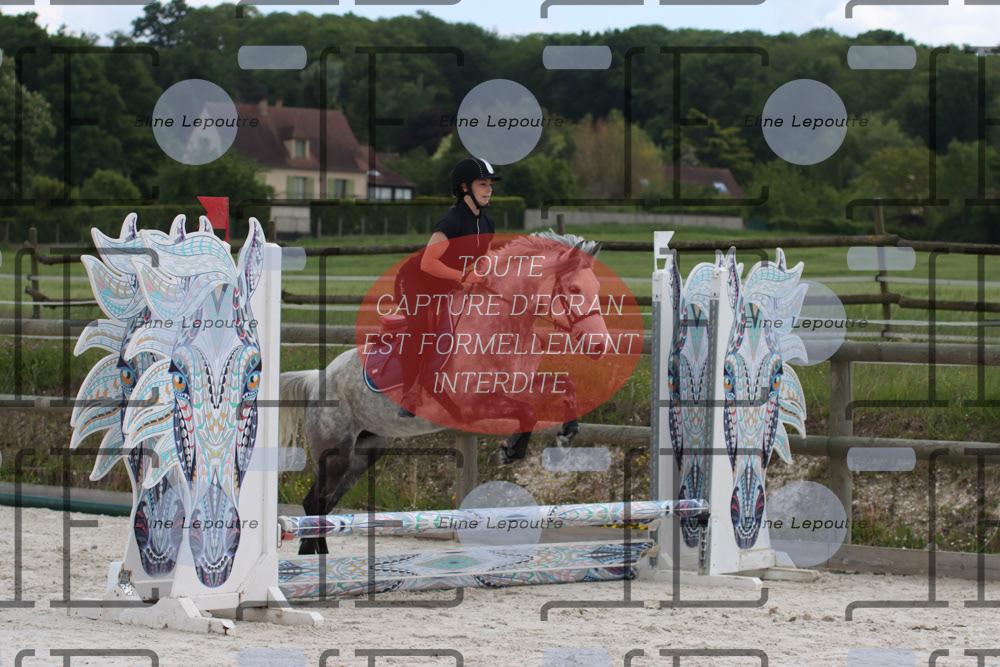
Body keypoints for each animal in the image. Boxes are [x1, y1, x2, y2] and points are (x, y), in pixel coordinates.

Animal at [279, 231, 616, 555]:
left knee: (327, 503)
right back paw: (309, 555)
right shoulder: (473, 404)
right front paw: (506, 453)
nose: (601, 346)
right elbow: (528, 413)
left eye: (596, 287)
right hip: (335, 450)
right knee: (314, 501)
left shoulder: (519, 385)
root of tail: (319, 377)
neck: (503, 322)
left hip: (366, 451)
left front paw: (564, 438)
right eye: (574, 289)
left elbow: (562, 388)